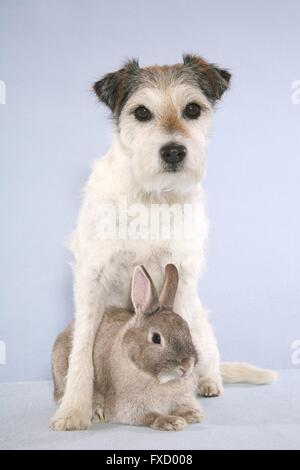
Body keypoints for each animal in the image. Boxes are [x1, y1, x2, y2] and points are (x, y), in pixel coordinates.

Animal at [52, 264, 204, 430]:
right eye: (156, 338)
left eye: (187, 329)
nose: (186, 366)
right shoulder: (130, 407)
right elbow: (151, 416)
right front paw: (172, 421)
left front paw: (192, 414)